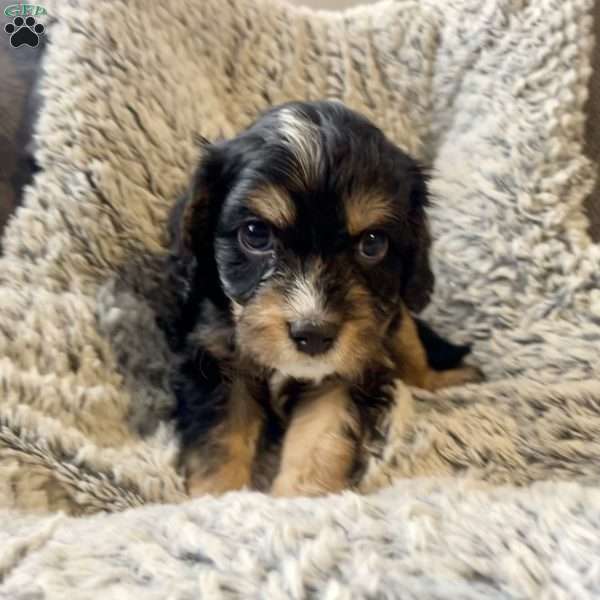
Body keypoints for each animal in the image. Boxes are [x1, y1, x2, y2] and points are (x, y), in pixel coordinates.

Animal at [169, 102, 482, 496]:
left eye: (373, 243)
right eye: (255, 234)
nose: (314, 335)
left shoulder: (349, 368)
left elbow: (321, 439)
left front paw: (300, 498)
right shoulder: (216, 358)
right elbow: (219, 439)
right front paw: (219, 498)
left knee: (413, 357)